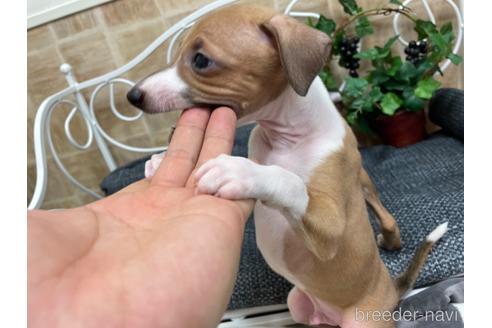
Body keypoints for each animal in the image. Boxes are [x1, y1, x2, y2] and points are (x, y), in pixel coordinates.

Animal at [126, 3, 446, 326]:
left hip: (363, 317)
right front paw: (161, 161)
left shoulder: (332, 229)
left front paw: (238, 171)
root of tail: (390, 288)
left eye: (201, 60)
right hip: (298, 303)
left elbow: (289, 180)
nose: (133, 95)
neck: (288, 139)